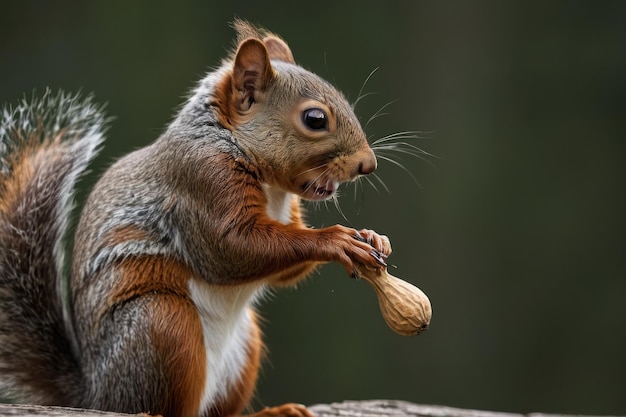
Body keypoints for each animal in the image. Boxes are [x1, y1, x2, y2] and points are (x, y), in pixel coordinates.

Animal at [0, 20, 390, 417]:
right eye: (315, 119)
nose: (368, 164)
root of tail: (94, 396)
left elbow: (282, 269)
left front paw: (373, 237)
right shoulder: (202, 179)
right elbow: (231, 251)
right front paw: (336, 239)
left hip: (242, 346)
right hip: (161, 323)